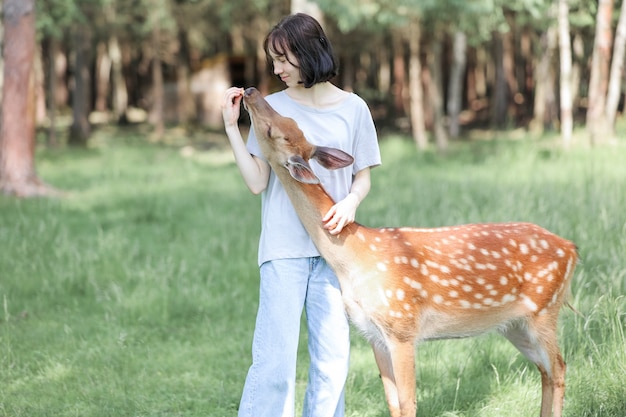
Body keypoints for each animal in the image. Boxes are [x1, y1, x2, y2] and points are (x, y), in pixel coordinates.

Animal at [239, 86, 576, 414]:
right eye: (290, 122)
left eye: (272, 131)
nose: (251, 91)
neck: (355, 258)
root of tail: (572, 248)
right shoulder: (373, 333)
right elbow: (392, 402)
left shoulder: (402, 325)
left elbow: (408, 401)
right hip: (514, 324)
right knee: (545, 370)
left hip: (544, 309)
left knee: (559, 367)